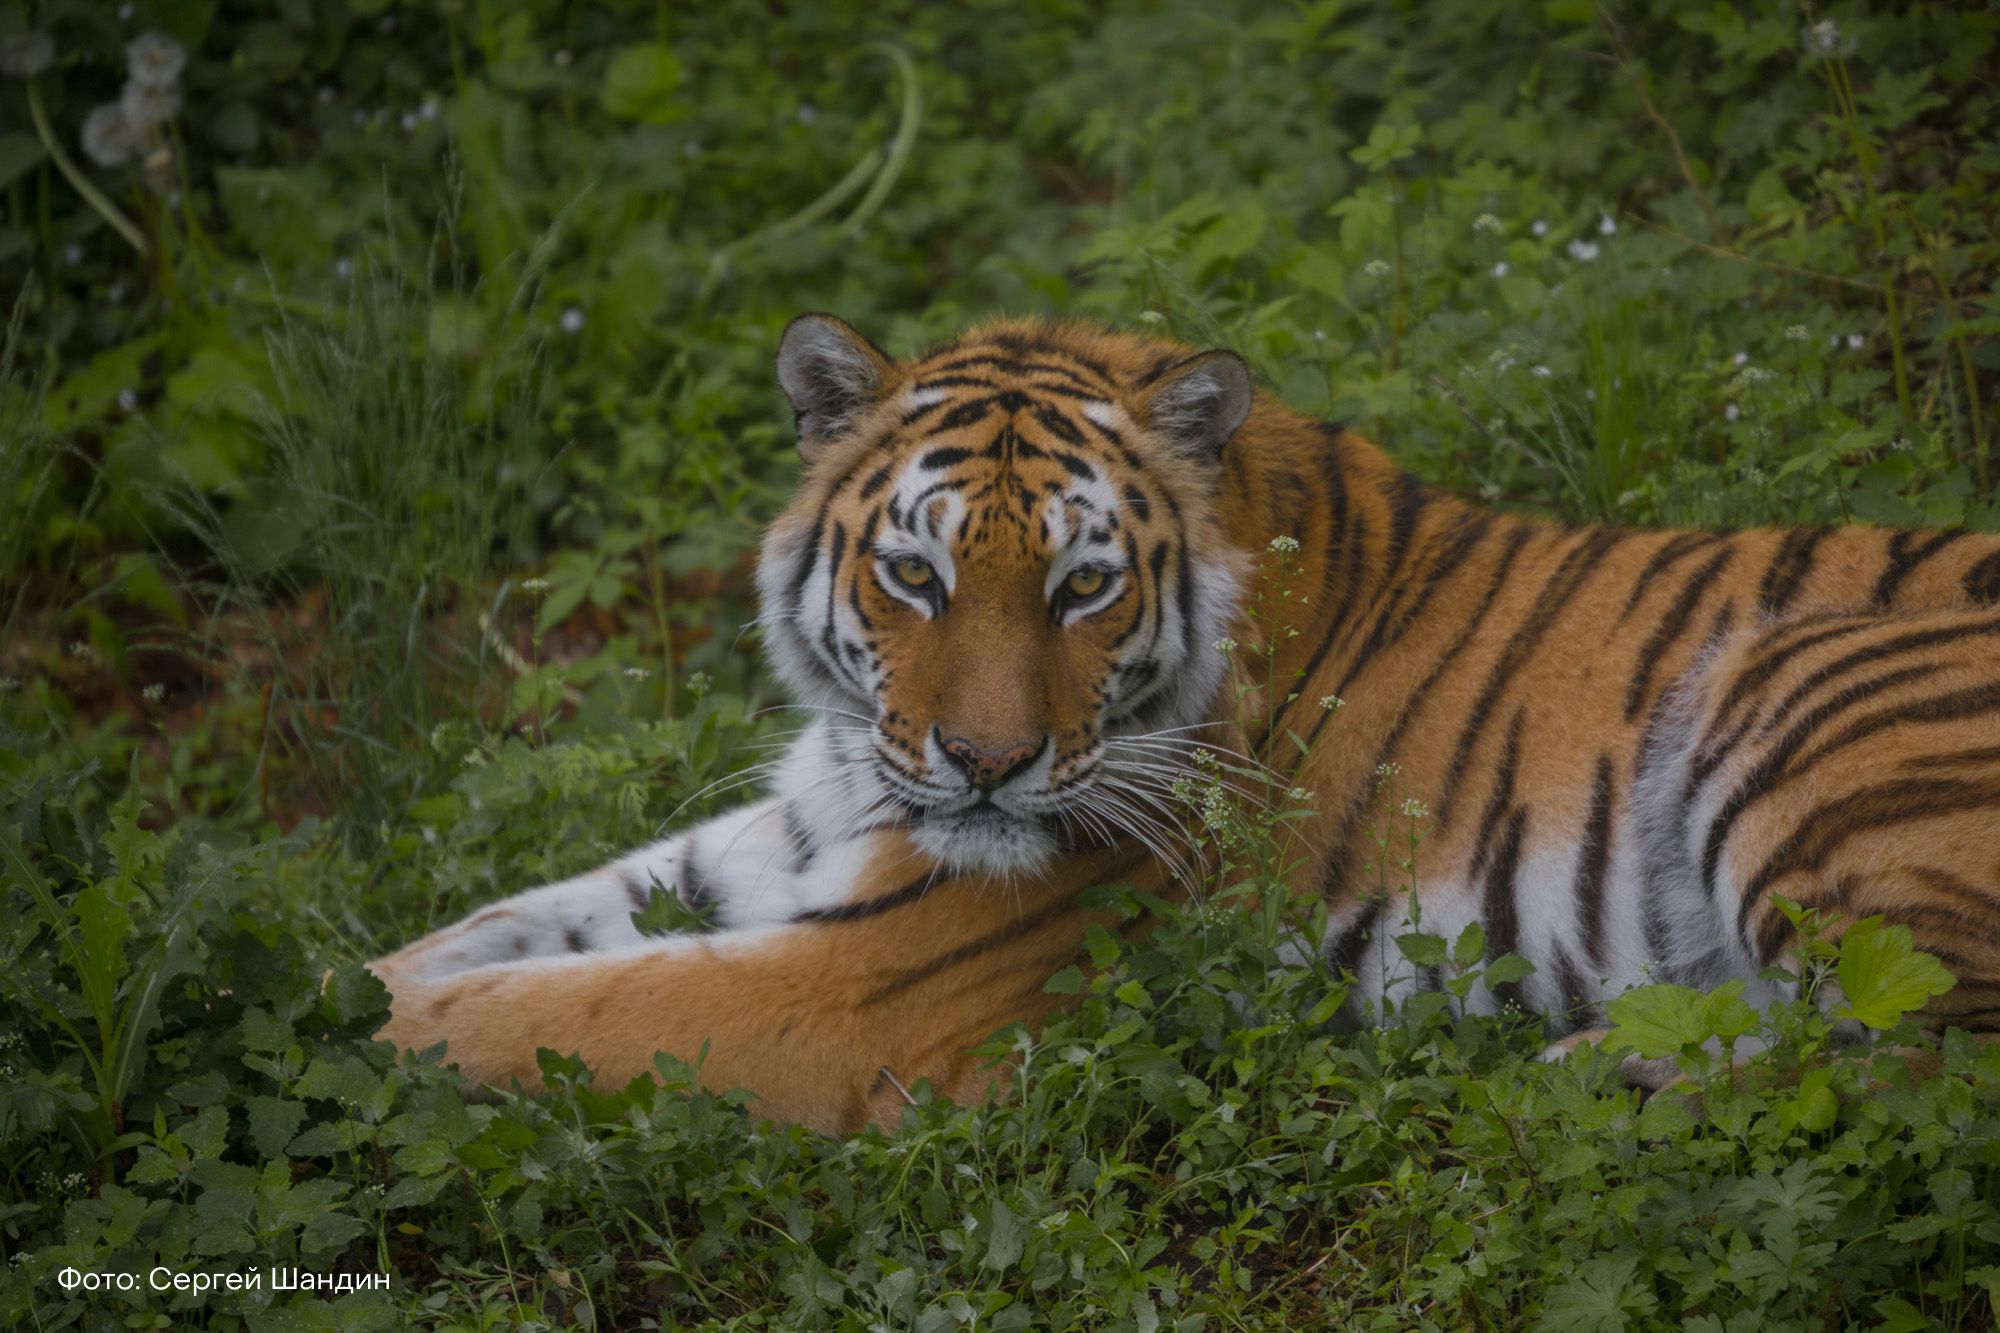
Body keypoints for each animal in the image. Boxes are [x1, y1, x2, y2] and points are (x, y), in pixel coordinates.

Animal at [368, 314, 2000, 1128]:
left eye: (1085, 586)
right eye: (916, 574)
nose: (985, 767)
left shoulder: (872, 990)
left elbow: (553, 1012)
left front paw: (356, 1030)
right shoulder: (798, 832)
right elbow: (507, 926)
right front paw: (336, 976)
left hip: (1796, 694)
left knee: (1929, 1060)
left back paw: (1604, 1078)